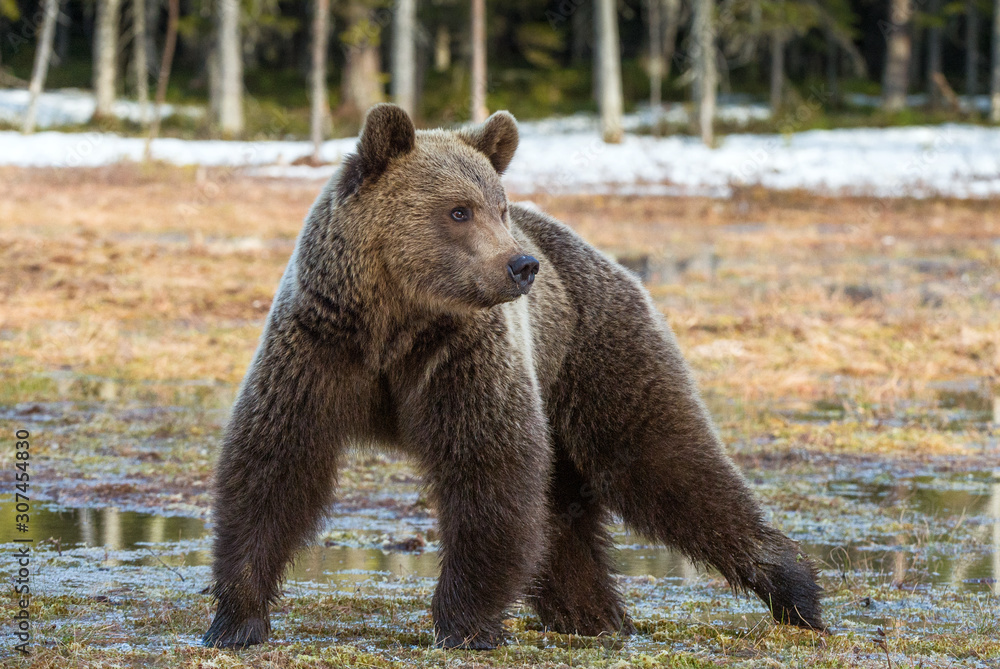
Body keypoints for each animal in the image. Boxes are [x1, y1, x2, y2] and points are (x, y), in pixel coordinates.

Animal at [202, 103, 824, 650]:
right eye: (458, 210)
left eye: (497, 208)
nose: (521, 265)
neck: (394, 323)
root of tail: (602, 256)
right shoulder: (319, 348)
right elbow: (275, 465)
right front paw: (235, 619)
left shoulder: (463, 358)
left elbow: (490, 472)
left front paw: (465, 624)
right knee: (567, 511)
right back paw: (593, 614)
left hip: (595, 357)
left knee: (665, 464)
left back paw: (794, 590)